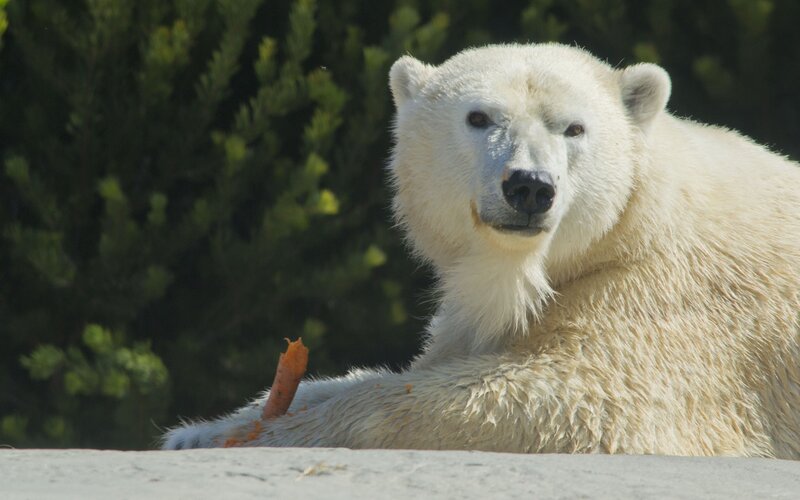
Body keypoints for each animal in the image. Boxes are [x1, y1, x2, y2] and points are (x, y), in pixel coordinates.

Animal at [162, 43, 800, 457]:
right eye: (478, 117)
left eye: (574, 128)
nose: (529, 187)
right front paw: (201, 428)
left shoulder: (665, 304)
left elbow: (572, 400)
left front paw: (269, 434)